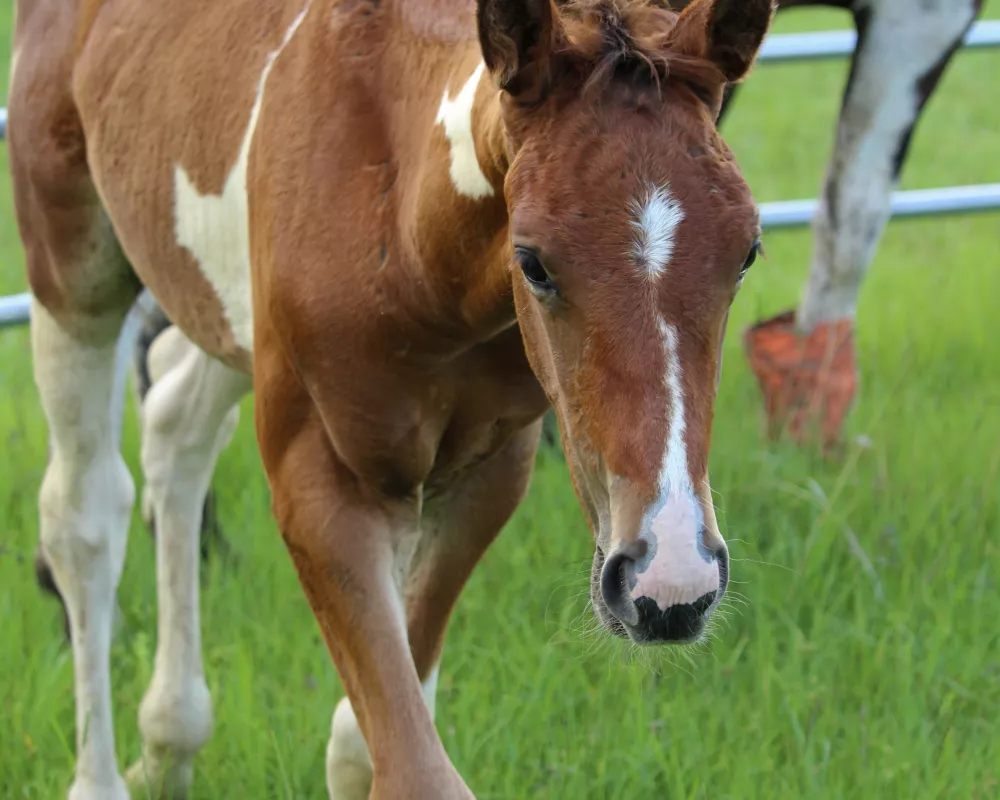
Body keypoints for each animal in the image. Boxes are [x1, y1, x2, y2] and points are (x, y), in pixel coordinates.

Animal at [7, 0, 768, 796]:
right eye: (532, 261)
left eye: (746, 252)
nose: (670, 583)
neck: (406, 222)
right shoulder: (321, 485)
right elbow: (410, 765)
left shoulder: (486, 478)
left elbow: (359, 741)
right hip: (72, 274)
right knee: (84, 517)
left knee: (175, 421)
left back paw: (169, 741)